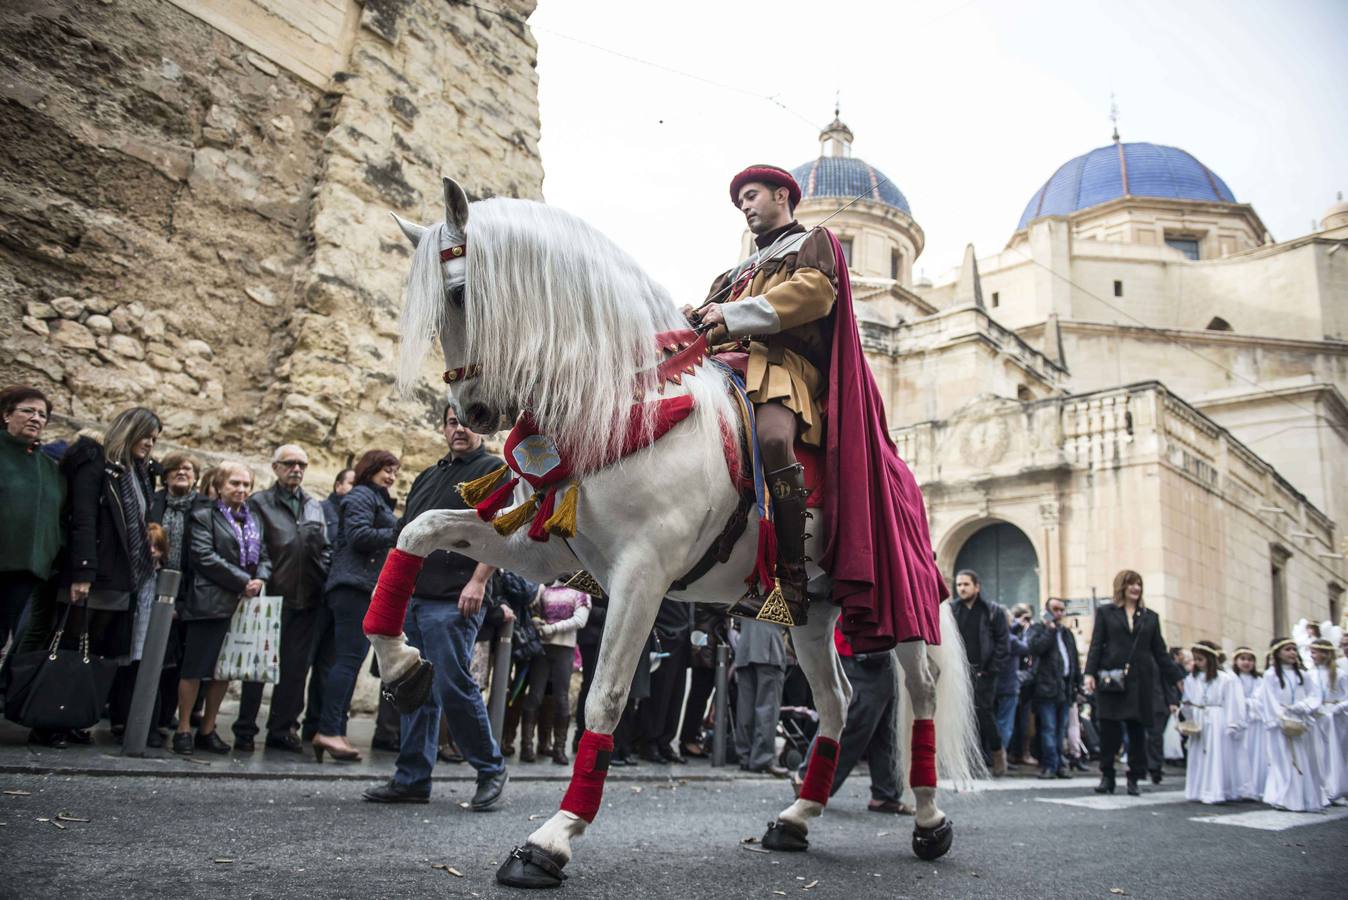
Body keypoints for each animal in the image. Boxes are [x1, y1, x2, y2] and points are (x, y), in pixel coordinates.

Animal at [366, 177, 981, 894]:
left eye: (461, 292)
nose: (470, 414)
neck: (624, 400)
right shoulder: (540, 551)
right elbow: (419, 530)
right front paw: (404, 667)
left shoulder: (642, 574)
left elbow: (604, 699)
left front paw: (551, 840)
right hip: (811, 612)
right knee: (837, 701)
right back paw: (797, 817)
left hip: (901, 607)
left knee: (920, 694)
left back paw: (929, 820)